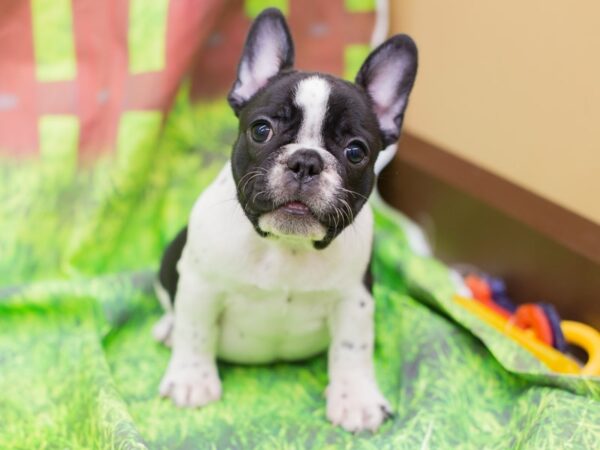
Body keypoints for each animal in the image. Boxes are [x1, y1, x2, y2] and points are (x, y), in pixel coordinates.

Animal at [155, 7, 418, 432]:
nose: (306, 161)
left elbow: (352, 349)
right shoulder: (200, 284)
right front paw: (192, 380)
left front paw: (356, 399)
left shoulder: (354, 299)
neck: (285, 246)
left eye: (356, 151)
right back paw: (167, 328)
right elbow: (195, 331)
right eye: (262, 129)